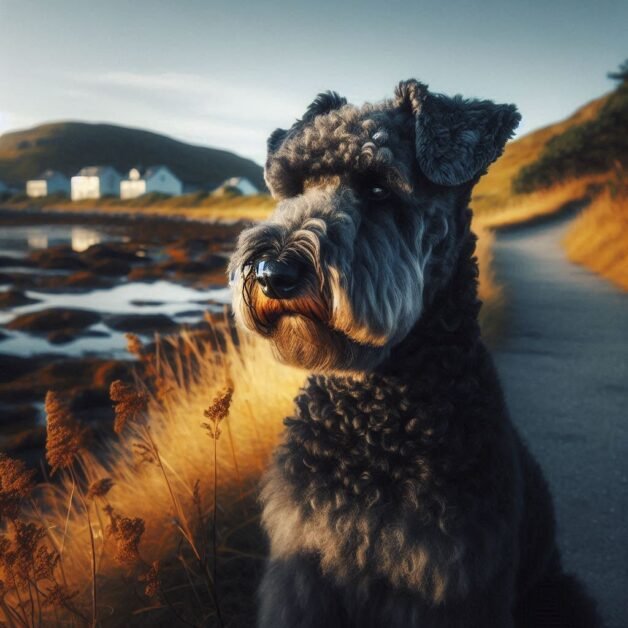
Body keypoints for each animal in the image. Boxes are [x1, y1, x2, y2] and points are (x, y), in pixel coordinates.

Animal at [227, 81, 600, 624]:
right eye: (294, 186)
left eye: (379, 187)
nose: (273, 273)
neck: (375, 412)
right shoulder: (303, 568)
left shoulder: (450, 583)